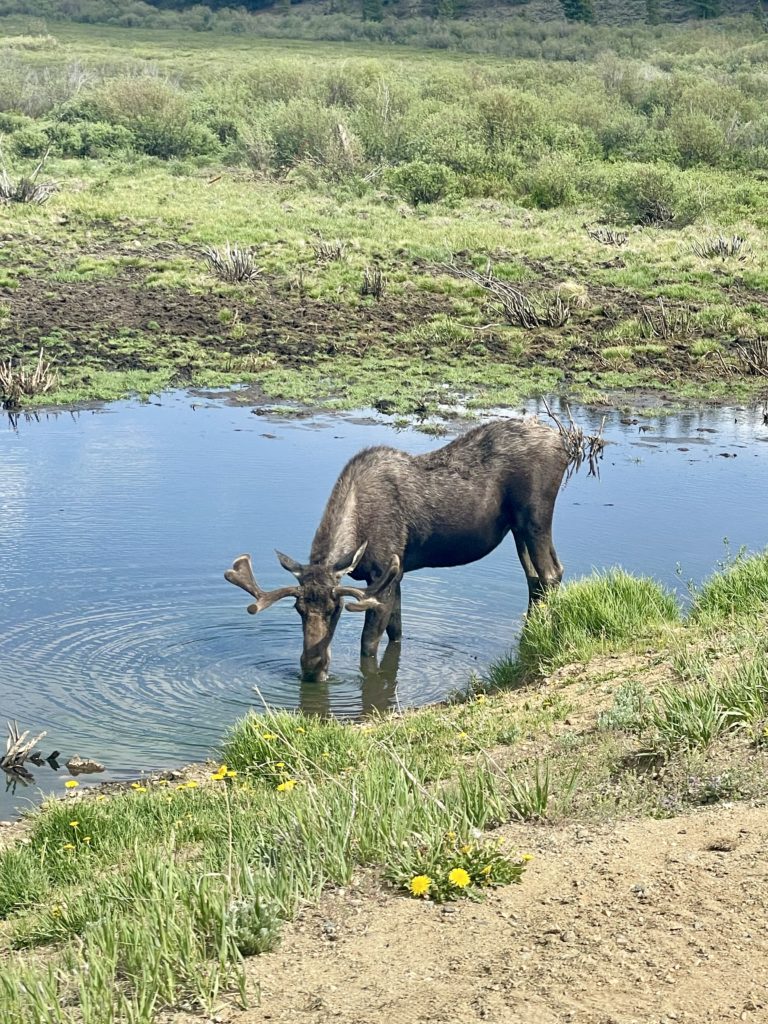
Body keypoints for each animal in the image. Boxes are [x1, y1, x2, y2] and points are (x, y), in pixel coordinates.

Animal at [225, 419, 573, 684]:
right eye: (298, 609)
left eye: (335, 609)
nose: (312, 668)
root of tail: (565, 444)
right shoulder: (393, 577)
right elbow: (397, 632)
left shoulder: (384, 573)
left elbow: (368, 643)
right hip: (517, 527)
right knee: (535, 578)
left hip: (535, 517)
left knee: (551, 572)